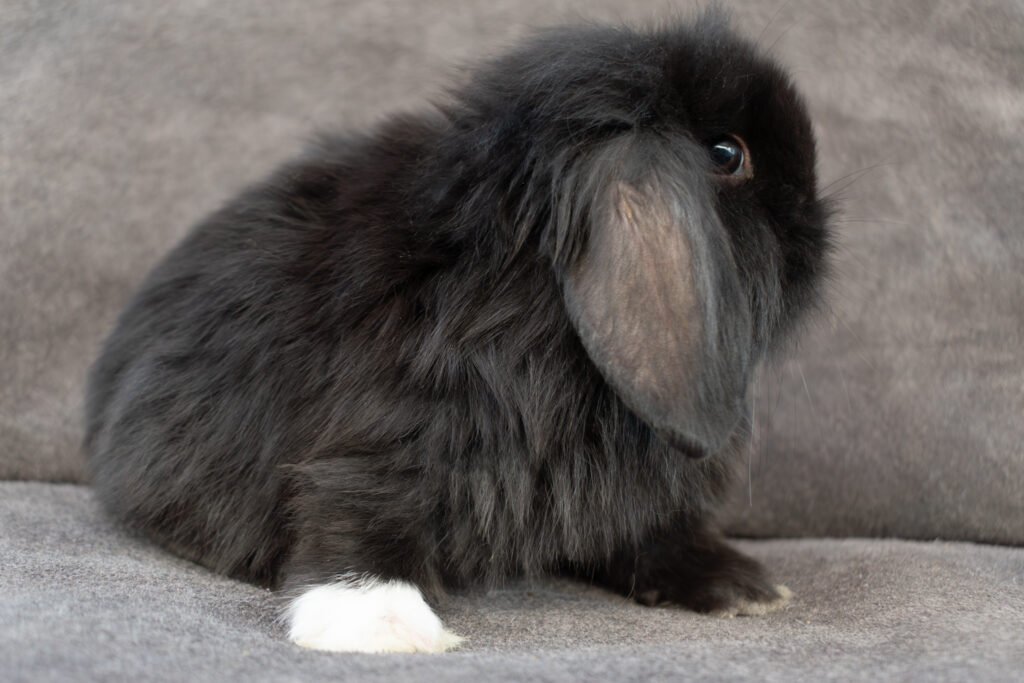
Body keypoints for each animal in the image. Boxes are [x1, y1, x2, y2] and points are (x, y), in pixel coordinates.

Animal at [84, 9, 832, 654]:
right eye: (728, 153)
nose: (817, 227)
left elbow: (644, 530)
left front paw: (738, 586)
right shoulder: (385, 438)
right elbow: (356, 510)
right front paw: (382, 621)